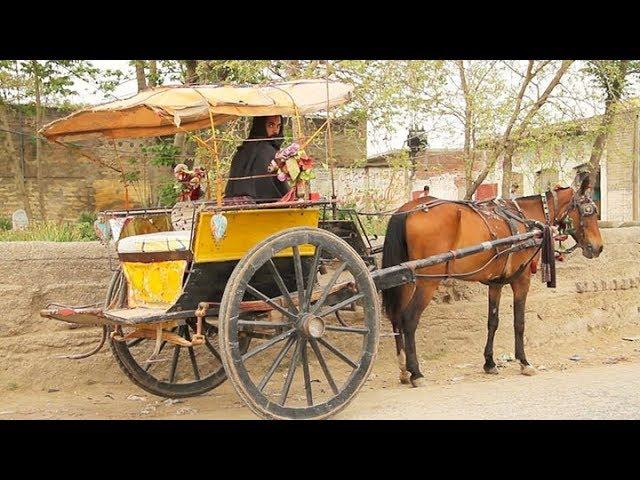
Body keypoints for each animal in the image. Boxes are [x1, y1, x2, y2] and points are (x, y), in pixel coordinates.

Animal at [382, 174, 604, 388]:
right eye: (588, 211)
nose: (598, 247)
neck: (526, 220)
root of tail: (407, 210)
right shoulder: (522, 280)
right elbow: (519, 322)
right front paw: (524, 362)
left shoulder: (496, 283)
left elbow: (493, 322)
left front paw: (489, 363)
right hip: (427, 281)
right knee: (409, 319)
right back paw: (416, 373)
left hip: (405, 278)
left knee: (397, 317)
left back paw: (403, 370)